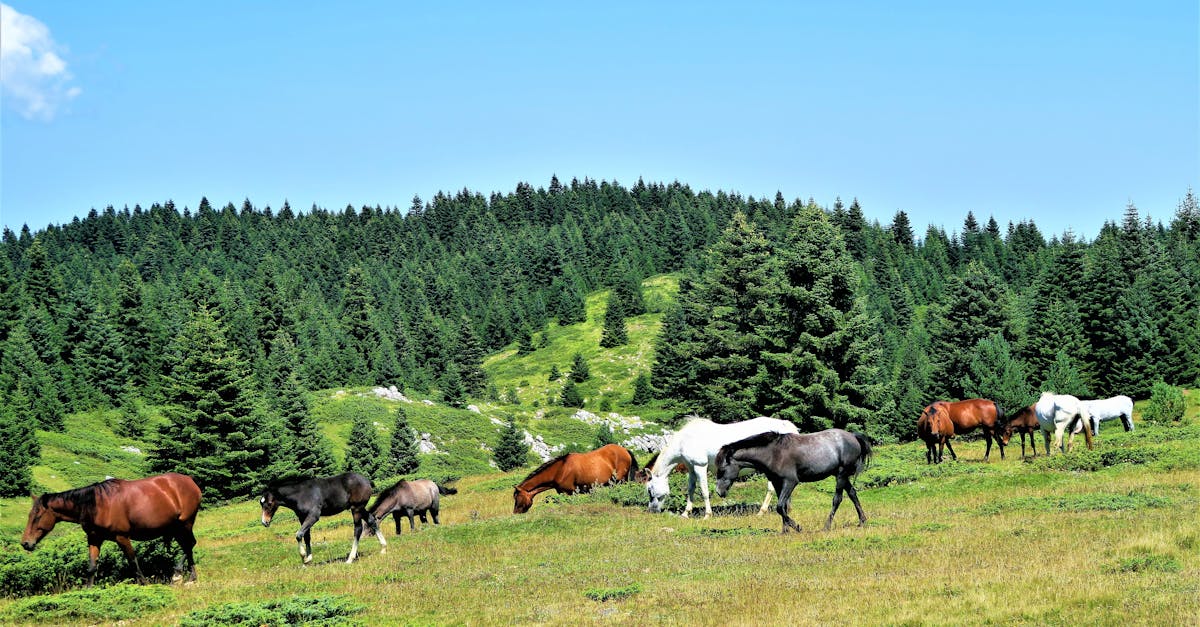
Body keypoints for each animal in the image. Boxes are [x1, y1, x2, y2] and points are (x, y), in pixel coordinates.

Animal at [21, 473, 200, 586]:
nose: (25, 543)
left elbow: (133, 562)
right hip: (176, 527)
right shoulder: (94, 539)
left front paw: (144, 583)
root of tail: (191, 481)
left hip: (185, 523)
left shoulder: (122, 537)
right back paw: (192, 577)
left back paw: (178, 574)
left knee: (189, 544)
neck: (97, 505)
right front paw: (87, 591)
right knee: (188, 546)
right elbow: (92, 567)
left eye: (37, 516)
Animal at [644, 416, 799, 519]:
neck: (685, 440)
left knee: (771, 489)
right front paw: (685, 513)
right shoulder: (692, 469)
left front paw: (707, 515)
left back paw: (762, 512)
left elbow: (704, 491)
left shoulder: (700, 467)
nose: (652, 510)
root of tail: (787, 427)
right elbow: (691, 490)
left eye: (650, 489)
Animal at [715, 430, 873, 533]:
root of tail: (853, 436)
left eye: (722, 470)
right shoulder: (777, 483)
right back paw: (862, 521)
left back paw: (827, 526)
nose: (719, 492)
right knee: (852, 494)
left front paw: (797, 527)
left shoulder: (790, 482)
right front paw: (785, 530)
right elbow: (783, 507)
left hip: (841, 474)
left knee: (837, 499)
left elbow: (779, 507)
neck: (773, 453)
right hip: (842, 476)